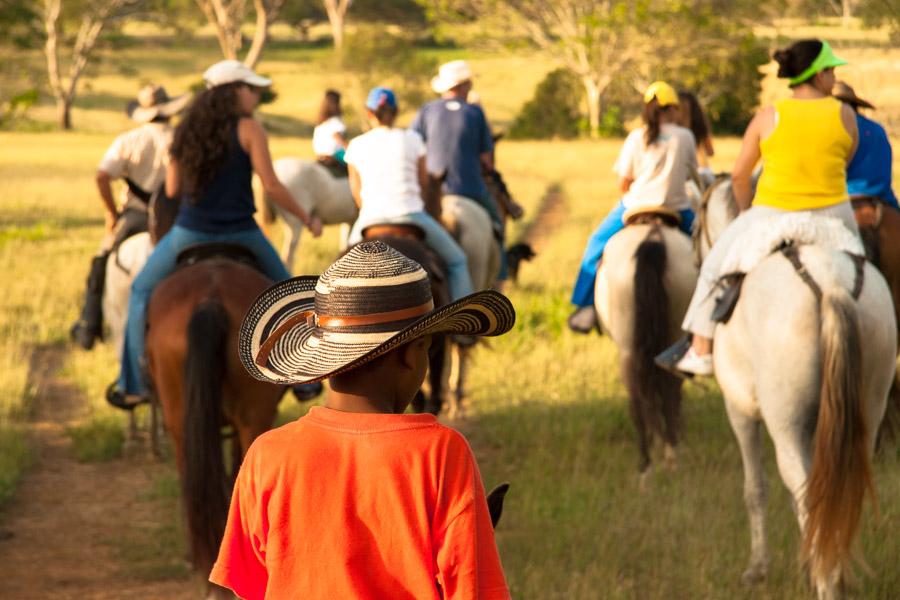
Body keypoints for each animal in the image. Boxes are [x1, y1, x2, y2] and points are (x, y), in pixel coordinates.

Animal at [596, 218, 704, 476]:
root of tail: (653, 239)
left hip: (630, 346)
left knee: (643, 395)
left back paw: (651, 462)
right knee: (663, 390)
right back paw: (666, 456)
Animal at [696, 191, 892, 596]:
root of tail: (832, 282)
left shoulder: (739, 412)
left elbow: (756, 489)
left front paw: (758, 569)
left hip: (785, 423)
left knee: (804, 489)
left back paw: (826, 582)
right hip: (867, 408)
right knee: (843, 492)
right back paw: (834, 571)